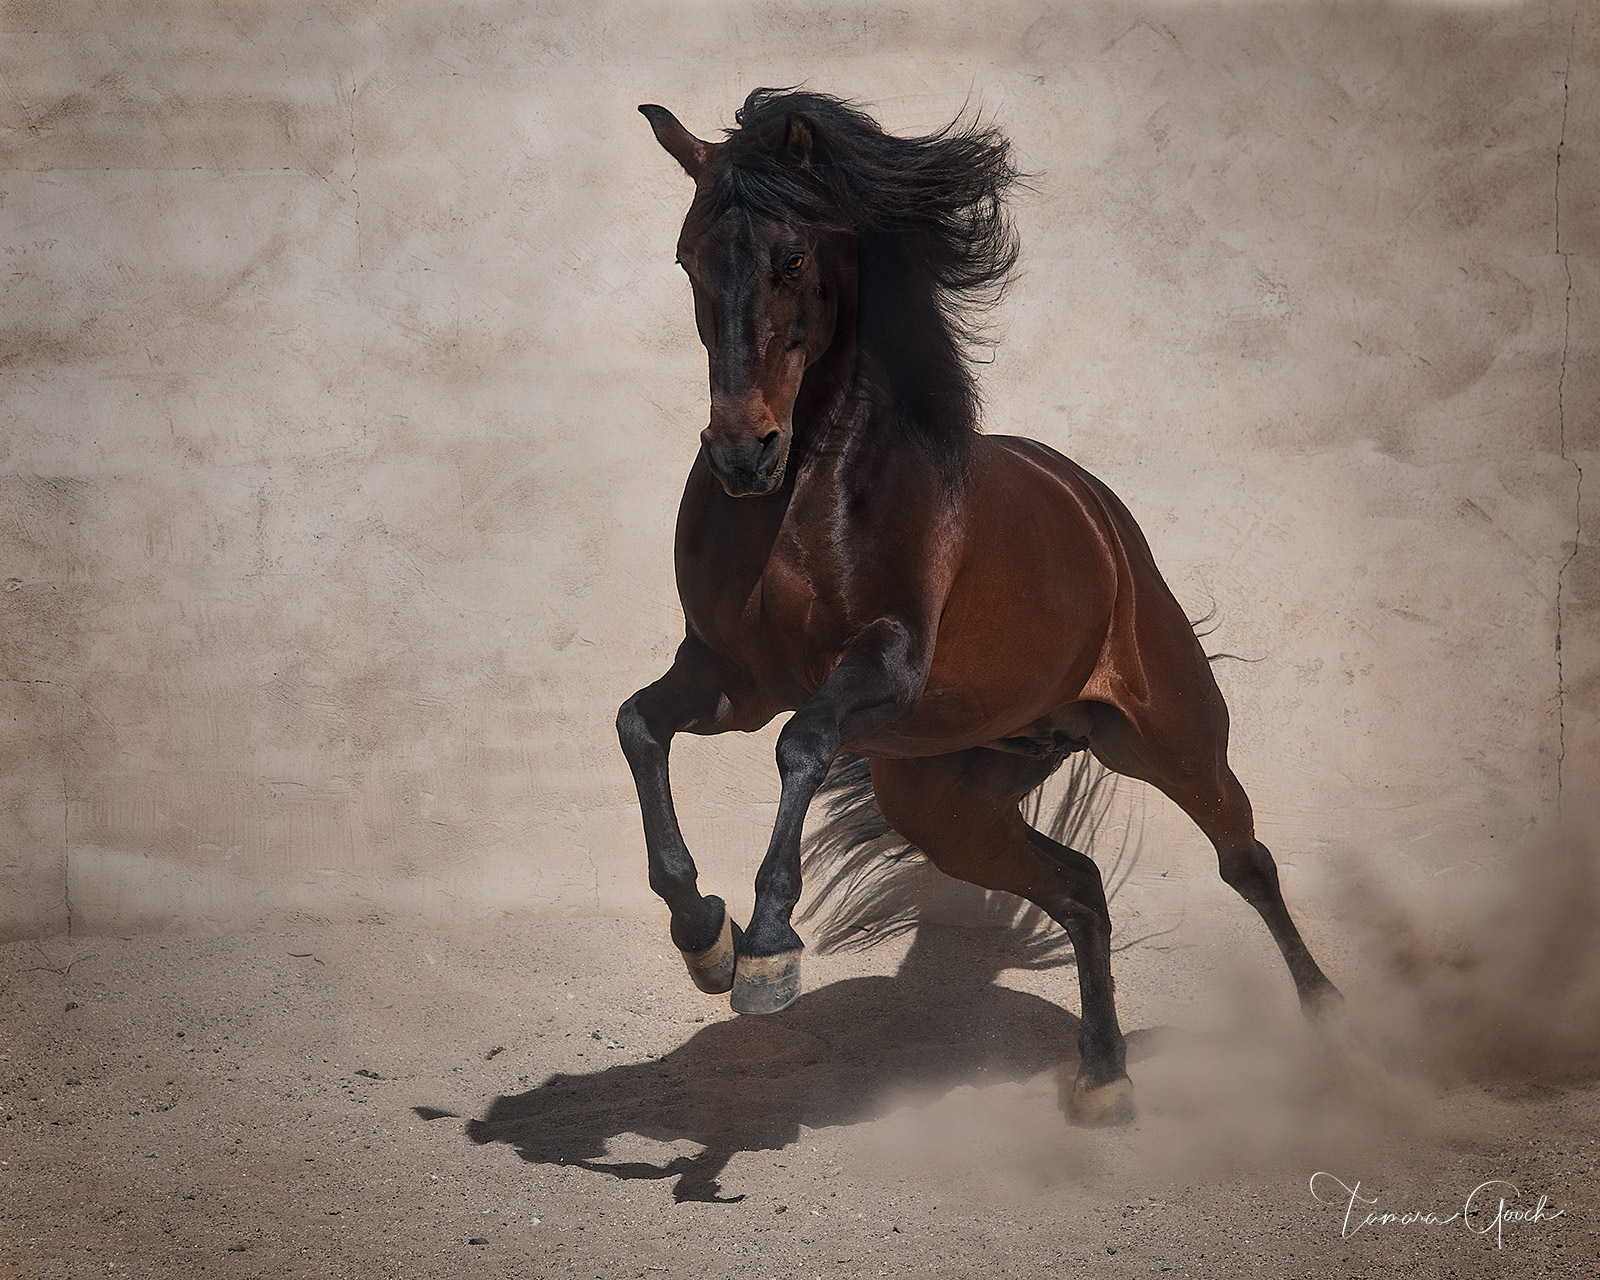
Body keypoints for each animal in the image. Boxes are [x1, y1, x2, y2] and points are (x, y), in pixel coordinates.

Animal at [614, 90, 1337, 1126]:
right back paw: (1104, 1078)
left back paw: (1332, 1023)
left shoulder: (883, 667)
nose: (743, 455)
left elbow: (800, 742)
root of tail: (1097, 512)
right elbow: (640, 725)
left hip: (1172, 738)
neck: (803, 499)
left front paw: (767, 950)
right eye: (687, 258)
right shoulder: (730, 679)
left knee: (1248, 861)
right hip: (944, 802)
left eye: (790, 257)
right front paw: (705, 935)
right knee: (1078, 886)